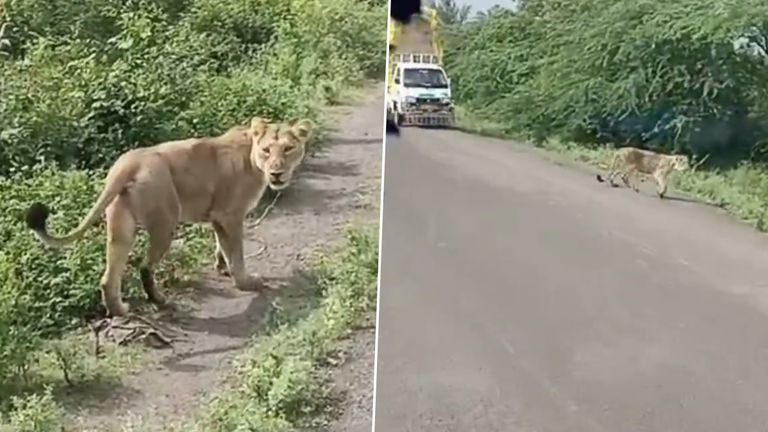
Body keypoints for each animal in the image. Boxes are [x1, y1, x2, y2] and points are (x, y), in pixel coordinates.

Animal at [26, 116, 316, 316]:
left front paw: (221, 267)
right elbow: (236, 251)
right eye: (267, 150)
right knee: (145, 266)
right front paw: (245, 281)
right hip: (166, 220)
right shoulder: (230, 214)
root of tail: (128, 164)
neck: (251, 154)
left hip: (120, 227)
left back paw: (120, 310)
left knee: (109, 277)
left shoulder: (218, 217)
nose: (277, 172)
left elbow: (221, 245)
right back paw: (159, 300)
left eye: (288, 149)